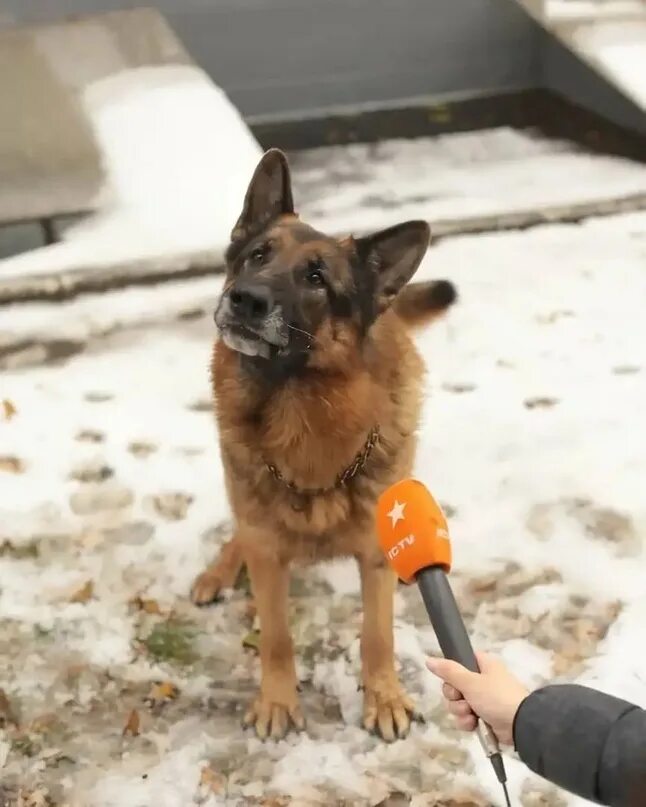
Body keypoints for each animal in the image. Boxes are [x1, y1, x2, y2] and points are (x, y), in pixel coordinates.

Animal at [190, 148, 458, 740]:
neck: (300, 416)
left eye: (316, 277)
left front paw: (383, 697)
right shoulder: (267, 554)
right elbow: (276, 637)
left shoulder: (377, 557)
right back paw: (217, 573)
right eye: (257, 255)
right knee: (239, 537)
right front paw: (277, 700)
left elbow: (378, 635)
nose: (243, 299)